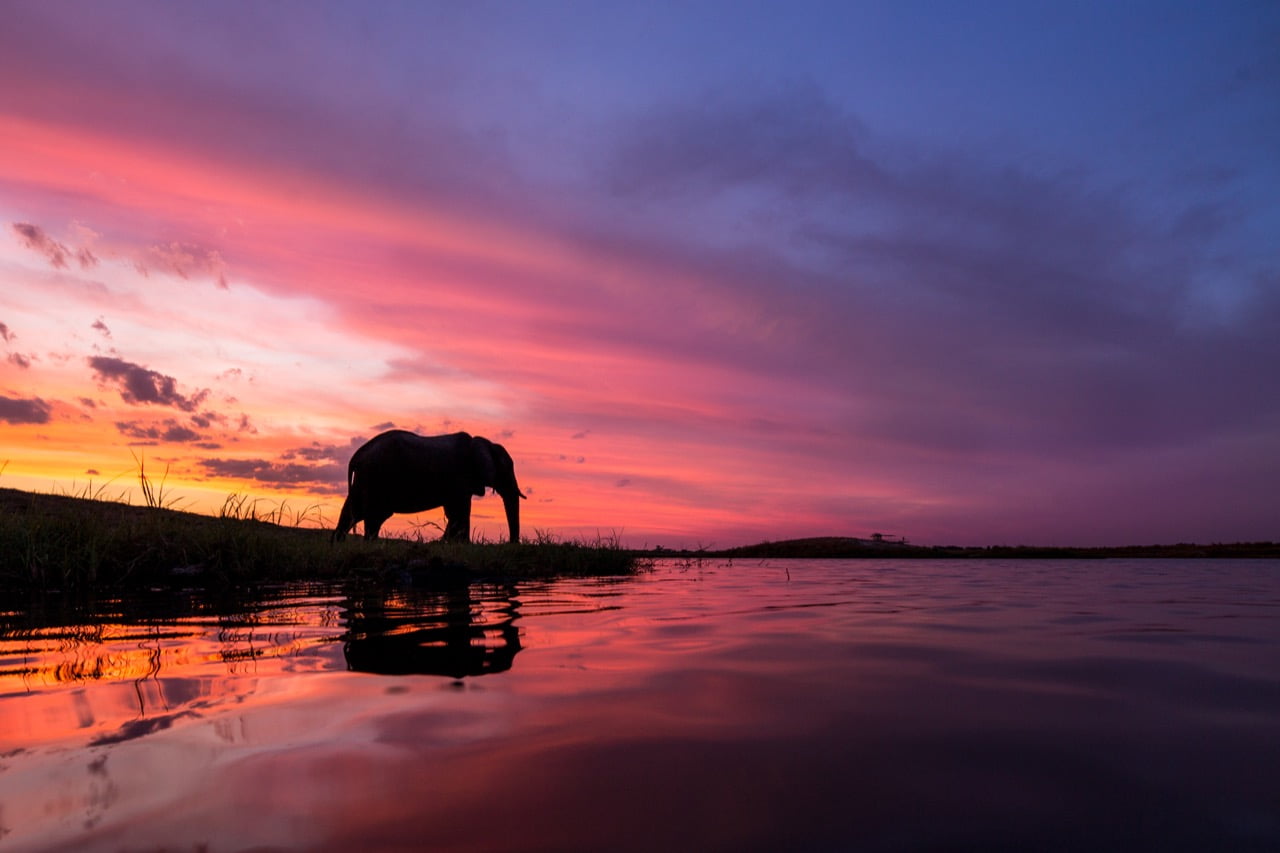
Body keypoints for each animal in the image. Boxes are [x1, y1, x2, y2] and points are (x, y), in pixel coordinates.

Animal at [337, 427, 527, 540]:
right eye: (507, 469)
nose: (511, 544)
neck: (484, 443)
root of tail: (357, 455)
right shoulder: (460, 478)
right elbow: (460, 511)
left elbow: (454, 513)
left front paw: (443, 543)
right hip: (375, 478)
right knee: (371, 516)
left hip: (365, 479)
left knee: (355, 512)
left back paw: (337, 544)